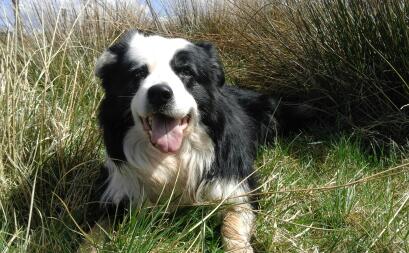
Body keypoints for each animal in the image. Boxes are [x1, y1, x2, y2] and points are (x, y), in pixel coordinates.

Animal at [94, 31, 300, 253]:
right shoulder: (120, 192)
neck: (172, 158)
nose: (160, 93)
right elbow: (94, 233)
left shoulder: (238, 189)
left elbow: (232, 225)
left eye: (186, 72)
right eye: (138, 74)